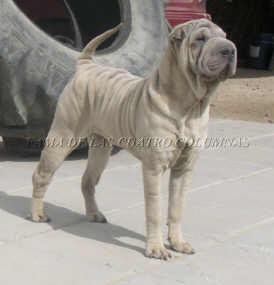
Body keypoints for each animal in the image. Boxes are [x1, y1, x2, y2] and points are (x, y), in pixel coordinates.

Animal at [29, 18, 235, 260]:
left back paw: (94, 214)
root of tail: (86, 66)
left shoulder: (184, 169)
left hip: (101, 149)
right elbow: (154, 211)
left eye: (224, 36)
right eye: (200, 39)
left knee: (87, 181)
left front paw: (178, 242)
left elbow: (176, 209)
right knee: (41, 175)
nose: (230, 49)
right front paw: (156, 248)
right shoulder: (153, 169)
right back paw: (37, 214)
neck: (190, 106)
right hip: (63, 137)